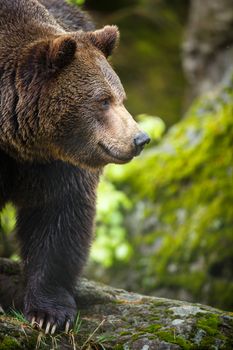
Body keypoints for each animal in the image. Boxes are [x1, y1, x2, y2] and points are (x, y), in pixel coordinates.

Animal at [0, 0, 149, 334]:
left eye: (121, 97)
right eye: (102, 100)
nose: (140, 138)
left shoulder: (55, 163)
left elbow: (59, 215)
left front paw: (49, 314)